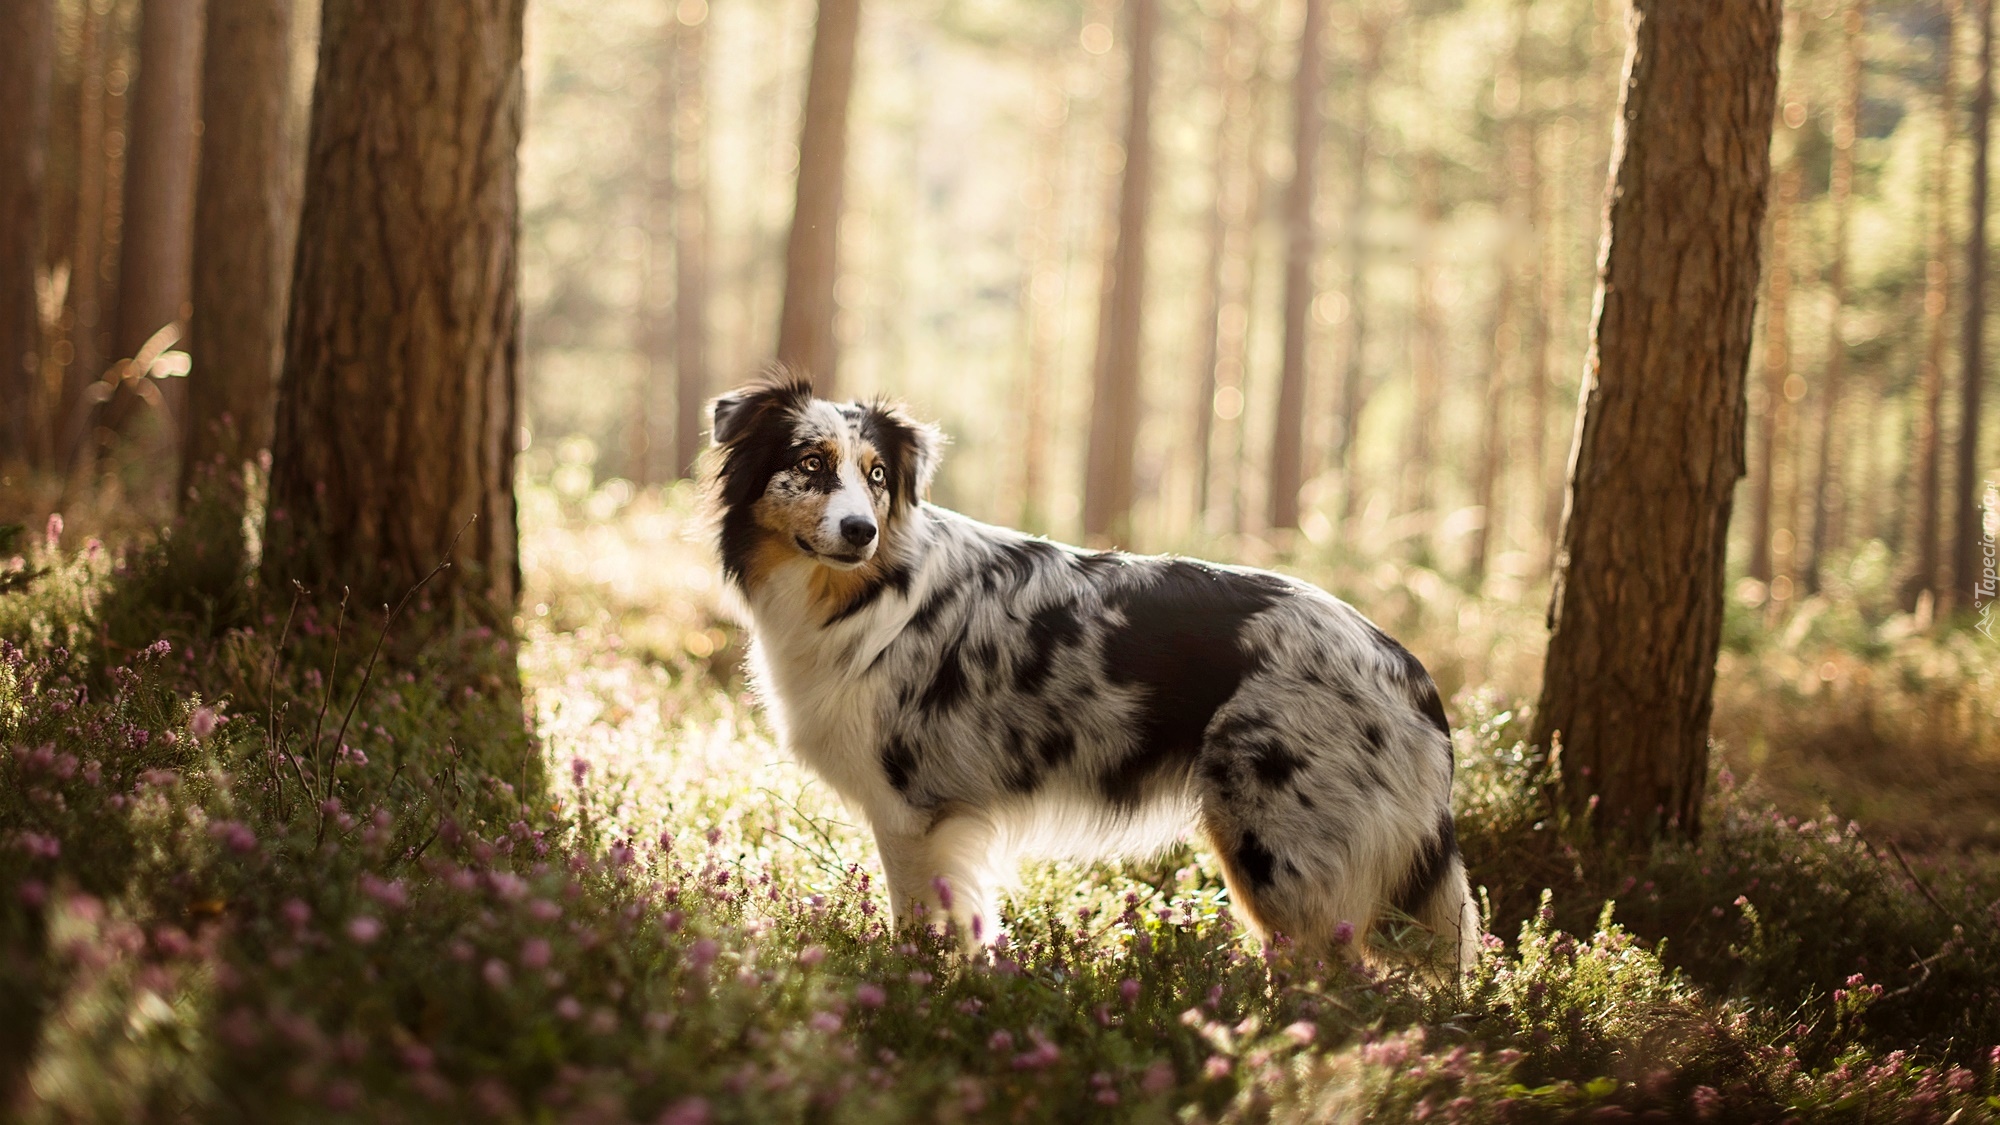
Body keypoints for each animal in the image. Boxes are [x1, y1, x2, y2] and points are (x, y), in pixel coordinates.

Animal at [700, 372, 1472, 968]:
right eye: (810, 463)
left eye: (878, 476)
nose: (860, 530)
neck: (866, 592)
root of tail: (1405, 666)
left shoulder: (912, 812)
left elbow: (917, 927)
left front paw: (907, 995)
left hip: (1277, 852)